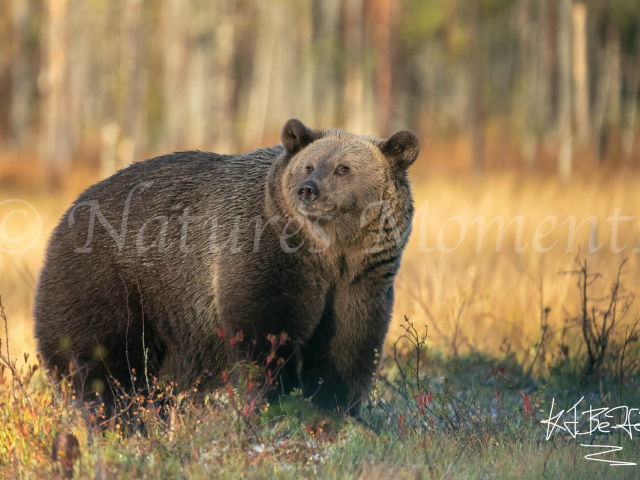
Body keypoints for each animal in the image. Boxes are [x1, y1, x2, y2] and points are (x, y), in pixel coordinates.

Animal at [33, 118, 420, 414]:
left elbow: (347, 348)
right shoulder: (265, 254)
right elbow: (265, 334)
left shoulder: (361, 282)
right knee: (105, 370)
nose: (308, 190)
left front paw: (334, 406)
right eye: (309, 166)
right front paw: (276, 402)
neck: (329, 253)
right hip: (110, 284)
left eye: (344, 169)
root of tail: (66, 214)